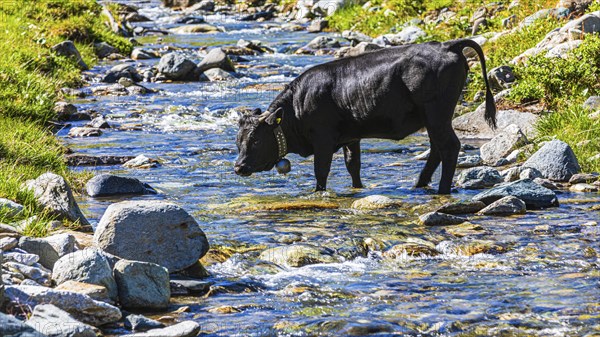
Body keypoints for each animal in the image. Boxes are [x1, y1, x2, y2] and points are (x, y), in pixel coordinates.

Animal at [234, 37, 496, 193]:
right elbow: (353, 166)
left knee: (449, 146)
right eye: (238, 141)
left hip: (436, 113)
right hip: (432, 118)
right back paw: (419, 184)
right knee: (436, 149)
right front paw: (357, 189)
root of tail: (447, 44)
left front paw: (318, 192)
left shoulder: (323, 139)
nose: (238, 167)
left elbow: (321, 170)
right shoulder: (351, 137)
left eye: (255, 140)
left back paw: (442, 190)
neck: (297, 106)